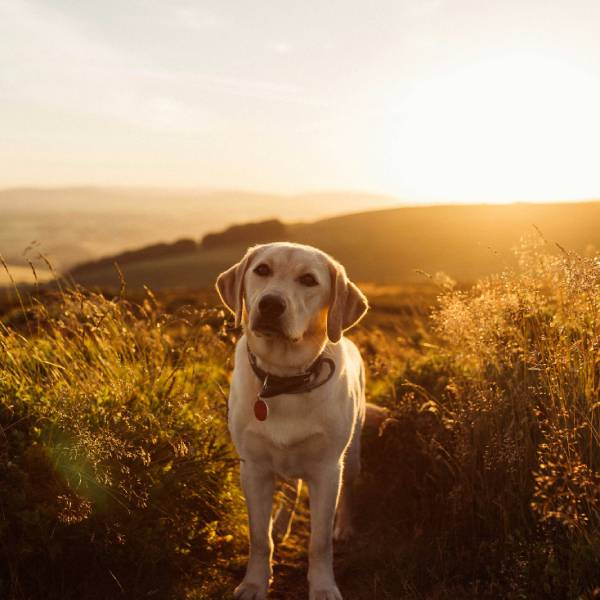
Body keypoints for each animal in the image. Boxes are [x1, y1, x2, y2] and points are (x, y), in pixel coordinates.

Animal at [218, 241, 368, 596]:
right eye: (262, 270)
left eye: (309, 280)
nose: (271, 304)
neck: (283, 378)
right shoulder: (254, 468)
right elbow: (259, 539)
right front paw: (255, 583)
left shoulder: (327, 470)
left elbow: (319, 543)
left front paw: (324, 587)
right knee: (291, 489)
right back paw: (282, 524)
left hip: (352, 454)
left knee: (349, 490)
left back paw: (345, 527)